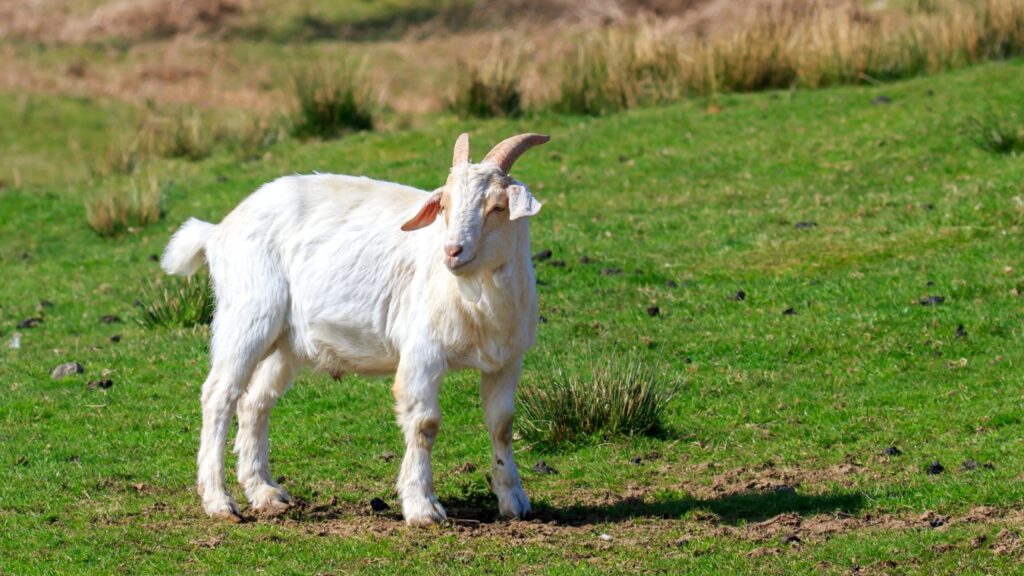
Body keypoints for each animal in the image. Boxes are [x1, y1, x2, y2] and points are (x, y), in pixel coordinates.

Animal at [160, 131, 552, 524]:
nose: (453, 251)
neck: (478, 298)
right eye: (444, 205)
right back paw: (219, 501)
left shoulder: (507, 359)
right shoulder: (422, 352)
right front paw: (422, 507)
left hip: (285, 342)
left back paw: (266, 493)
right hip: (248, 314)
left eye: (497, 207)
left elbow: (502, 424)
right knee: (219, 395)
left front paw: (514, 501)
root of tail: (217, 231)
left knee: (254, 403)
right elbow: (424, 424)